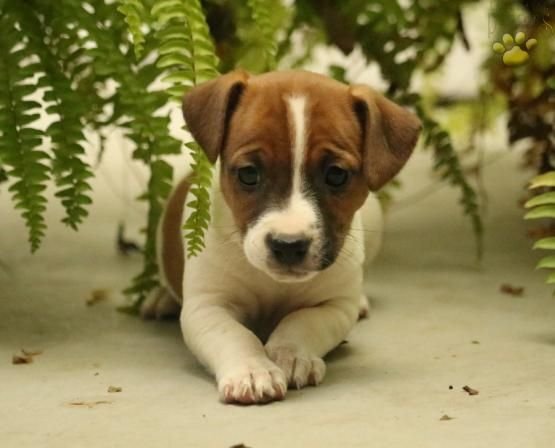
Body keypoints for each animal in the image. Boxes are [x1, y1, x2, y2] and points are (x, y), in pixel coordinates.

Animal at [140, 70, 422, 406]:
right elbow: (235, 335)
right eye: (248, 173)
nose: (288, 246)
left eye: (336, 175)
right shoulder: (208, 307)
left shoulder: (335, 307)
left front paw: (291, 354)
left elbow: (302, 322)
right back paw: (162, 297)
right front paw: (252, 370)